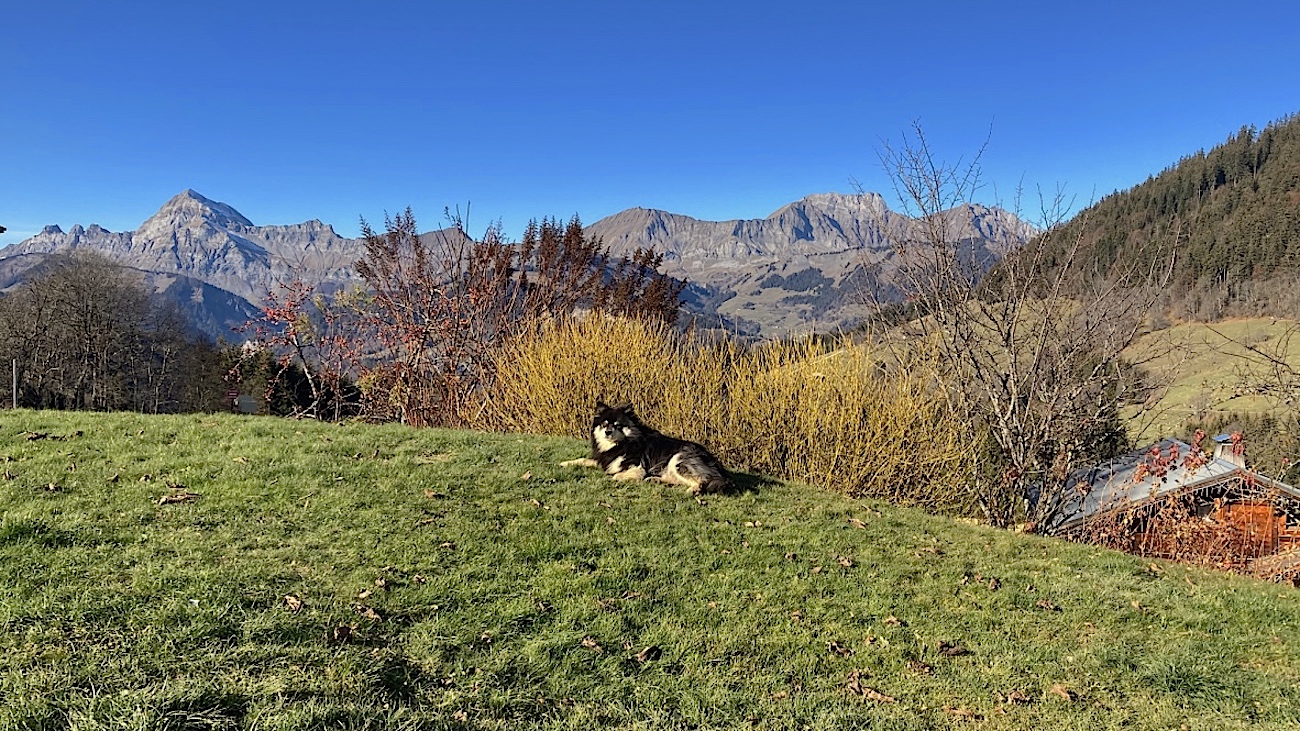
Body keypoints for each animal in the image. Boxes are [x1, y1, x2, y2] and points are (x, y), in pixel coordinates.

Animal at [559, 398, 733, 494]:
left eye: (617, 425)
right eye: (605, 424)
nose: (608, 432)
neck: (621, 444)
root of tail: (717, 465)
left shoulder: (637, 467)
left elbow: (616, 475)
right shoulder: (603, 459)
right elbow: (583, 459)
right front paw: (565, 463)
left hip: (679, 459)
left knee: (703, 479)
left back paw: (694, 490)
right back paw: (655, 480)